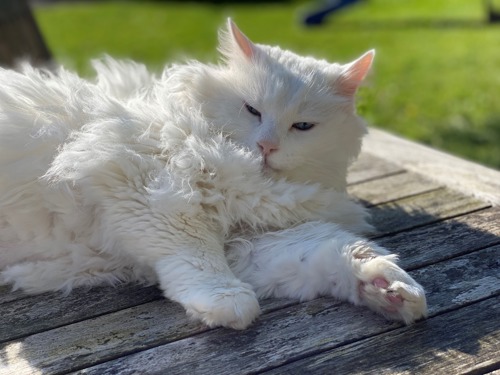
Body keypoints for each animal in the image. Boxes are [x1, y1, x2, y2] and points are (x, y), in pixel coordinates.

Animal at [0, 19, 426, 328]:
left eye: (302, 127)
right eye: (252, 110)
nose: (266, 146)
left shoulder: (251, 242)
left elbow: (333, 251)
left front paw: (387, 288)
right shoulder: (145, 188)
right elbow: (197, 257)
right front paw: (230, 305)